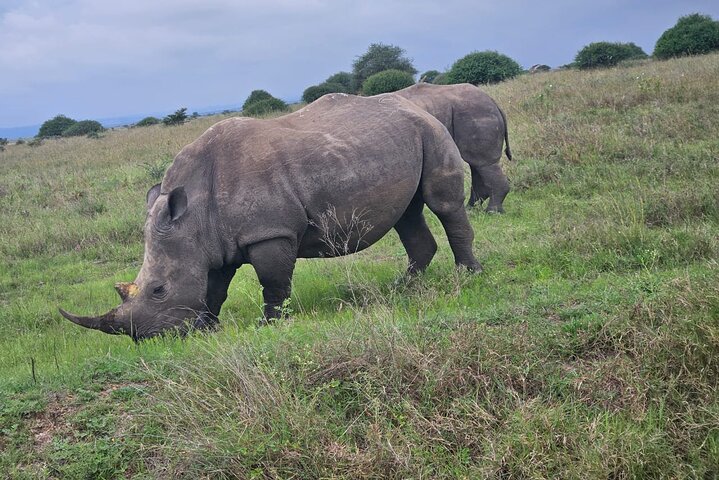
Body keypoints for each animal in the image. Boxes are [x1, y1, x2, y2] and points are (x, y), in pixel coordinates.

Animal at [60, 93, 481, 340]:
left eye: (159, 290)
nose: (147, 339)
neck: (193, 216)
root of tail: (414, 104)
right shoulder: (213, 244)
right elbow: (214, 288)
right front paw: (207, 328)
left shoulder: (269, 232)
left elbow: (273, 282)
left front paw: (269, 324)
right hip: (395, 140)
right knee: (406, 214)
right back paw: (402, 287)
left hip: (430, 130)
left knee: (442, 204)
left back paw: (469, 276)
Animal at [393, 83, 513, 213]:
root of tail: (493, 101)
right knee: (477, 164)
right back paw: (471, 210)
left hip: (475, 114)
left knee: (483, 163)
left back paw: (492, 211)